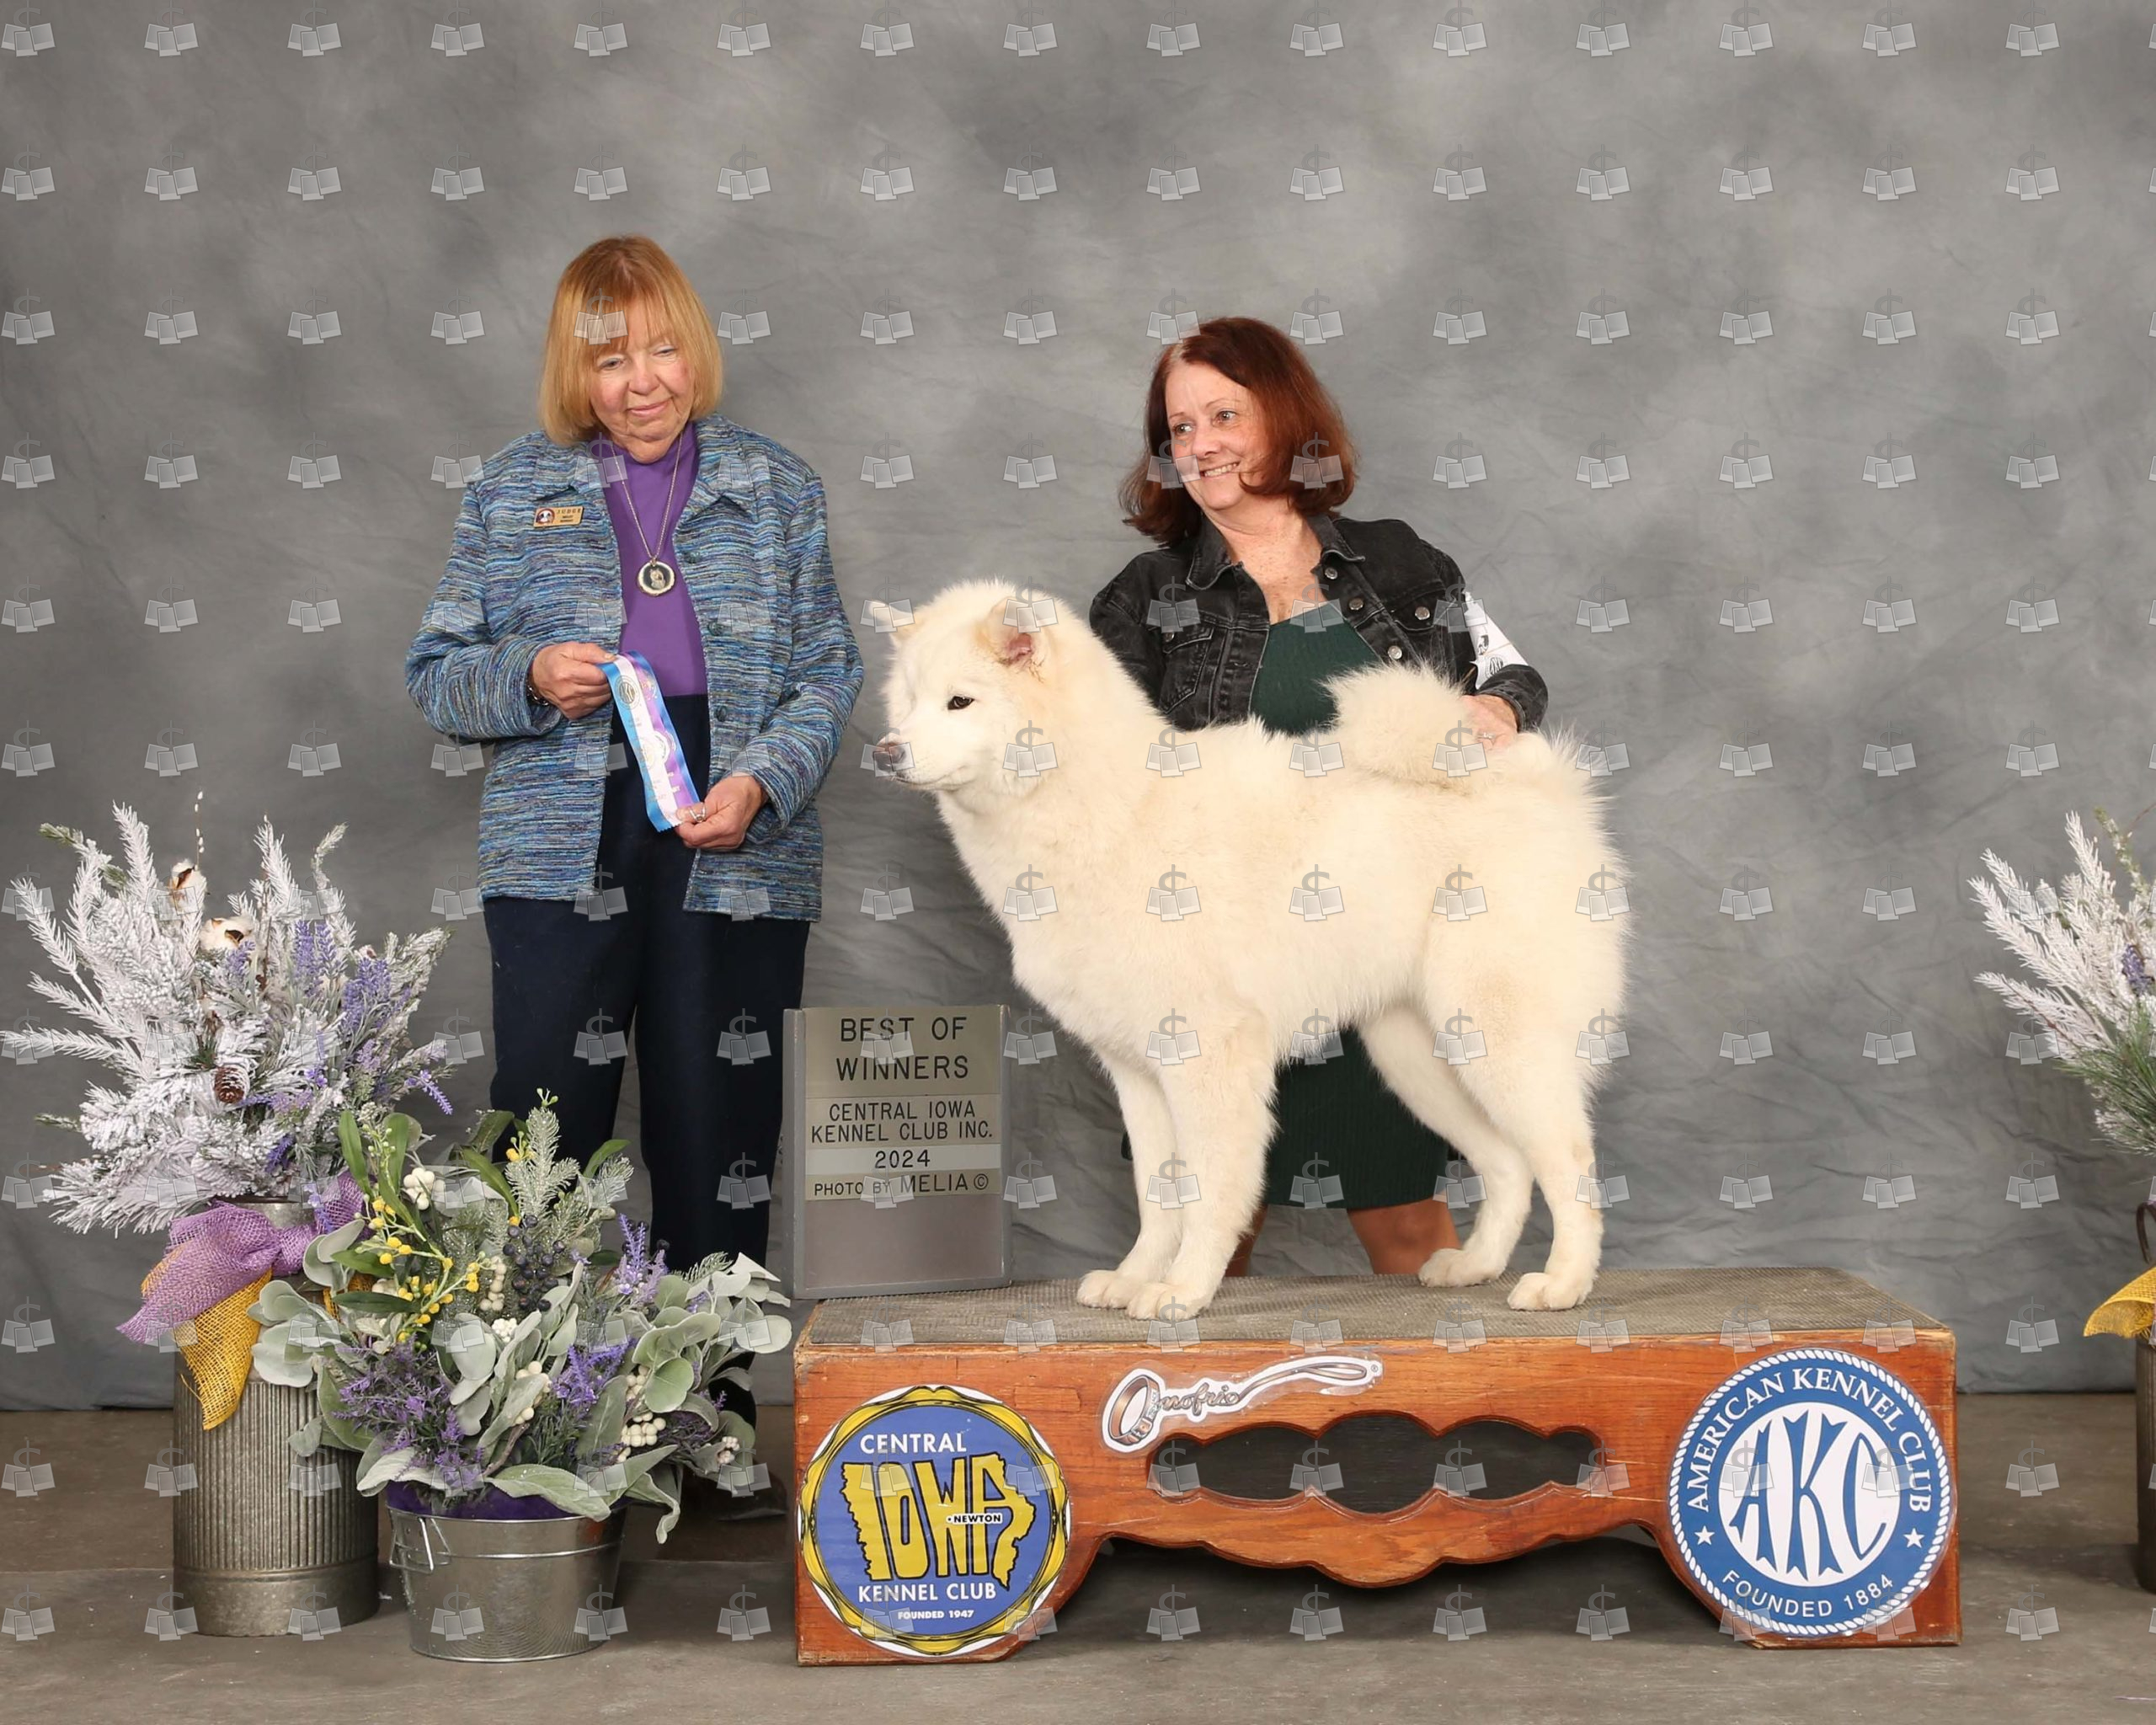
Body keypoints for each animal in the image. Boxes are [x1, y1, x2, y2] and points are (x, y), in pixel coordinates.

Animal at [874, 582, 1631, 1318]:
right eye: (906, 704)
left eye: (960, 701)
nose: (884, 751)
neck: (1109, 811)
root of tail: (1539, 790)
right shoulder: (1138, 1071)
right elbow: (1159, 1195)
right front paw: (1134, 1279)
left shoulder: (1209, 1056)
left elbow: (1209, 1191)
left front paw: (1182, 1290)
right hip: (1421, 1056)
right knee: (1509, 1166)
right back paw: (1475, 1267)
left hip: (1501, 1041)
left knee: (1571, 1164)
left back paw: (1563, 1284)